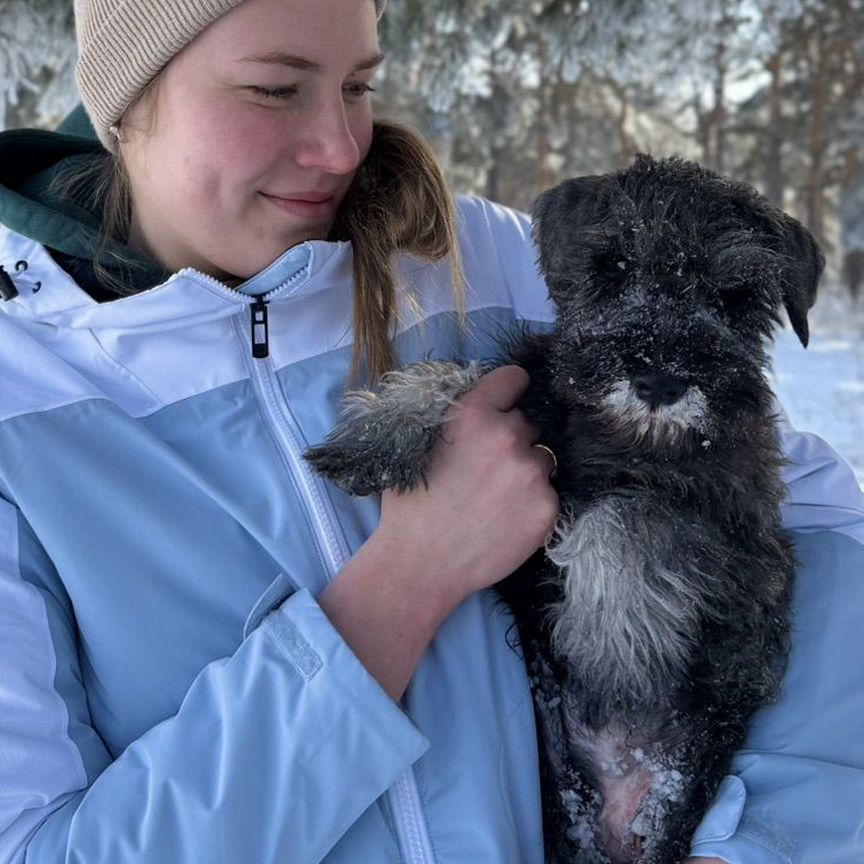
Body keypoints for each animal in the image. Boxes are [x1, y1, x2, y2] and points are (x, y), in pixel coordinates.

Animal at [306, 157, 824, 864]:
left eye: (734, 298)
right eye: (615, 267)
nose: (660, 381)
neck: (620, 436)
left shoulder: (735, 537)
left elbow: (627, 520)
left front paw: (609, 644)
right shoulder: (537, 384)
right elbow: (466, 373)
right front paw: (379, 432)